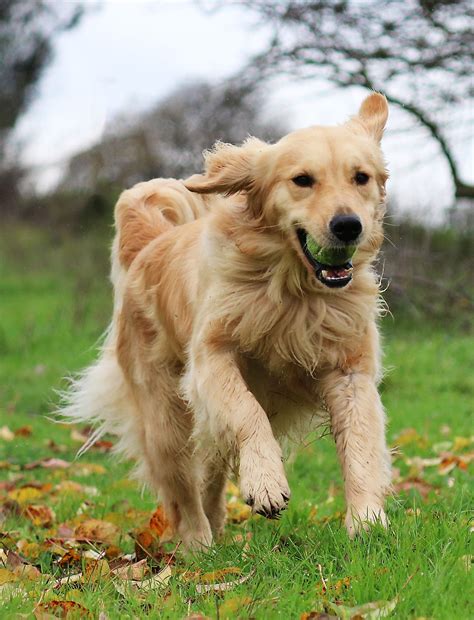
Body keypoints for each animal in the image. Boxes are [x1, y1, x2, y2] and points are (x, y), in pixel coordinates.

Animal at [65, 91, 394, 548]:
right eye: (302, 180)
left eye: (360, 177)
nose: (348, 226)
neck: (293, 291)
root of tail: (148, 245)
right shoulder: (211, 359)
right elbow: (246, 410)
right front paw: (266, 482)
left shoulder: (350, 370)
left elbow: (361, 443)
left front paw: (366, 521)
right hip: (165, 418)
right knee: (182, 492)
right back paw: (200, 547)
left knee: (210, 473)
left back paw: (218, 527)